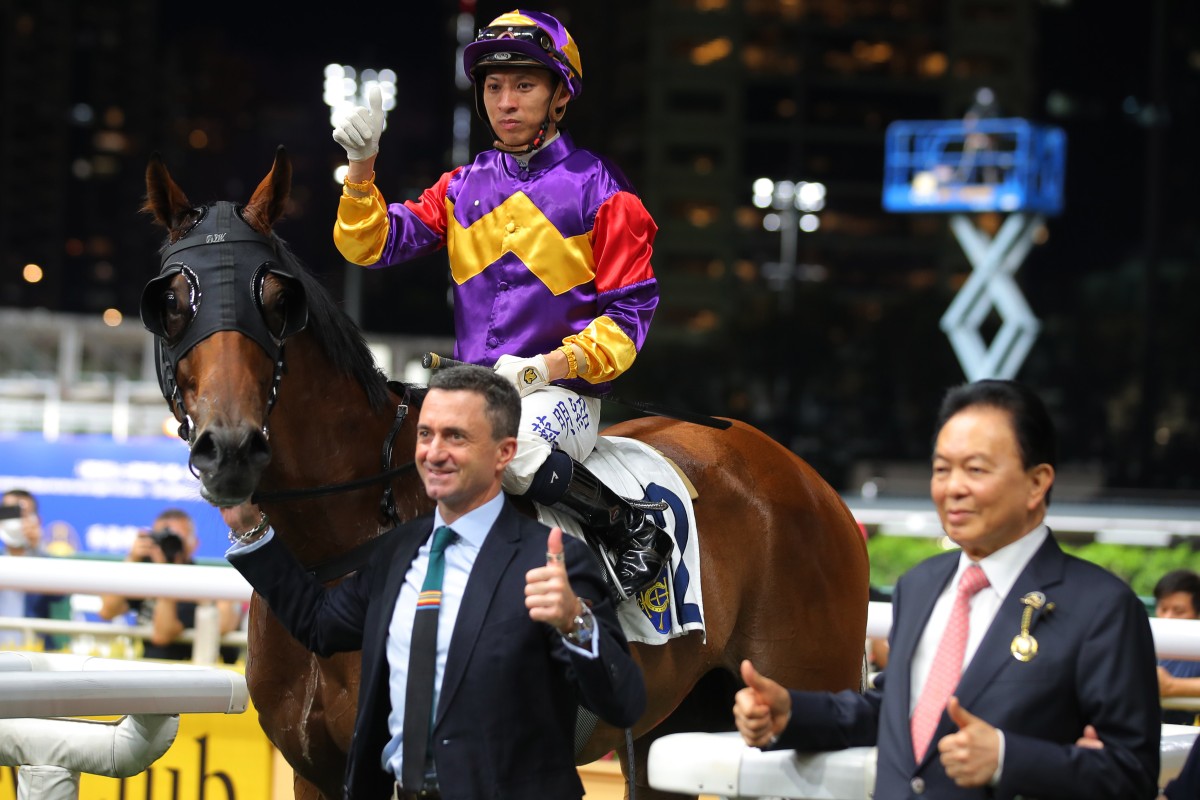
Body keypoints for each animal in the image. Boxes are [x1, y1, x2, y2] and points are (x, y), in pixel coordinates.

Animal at [140, 146, 868, 796]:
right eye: (171, 301)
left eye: (276, 300)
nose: (230, 448)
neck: (336, 549)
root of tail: (818, 488)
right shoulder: (315, 772)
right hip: (675, 726)